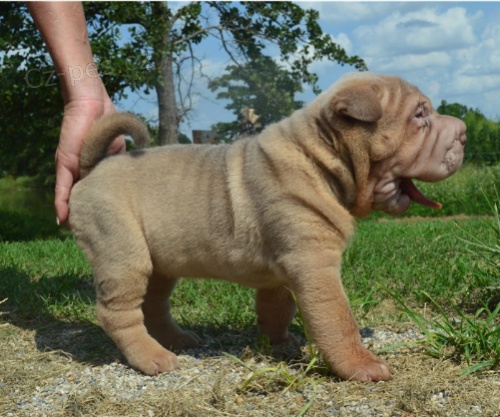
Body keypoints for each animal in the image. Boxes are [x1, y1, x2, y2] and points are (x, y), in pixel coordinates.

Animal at [69, 71, 464, 380]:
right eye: (419, 115)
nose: (462, 132)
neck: (319, 158)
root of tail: (93, 169)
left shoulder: (286, 271)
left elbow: (277, 308)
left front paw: (279, 342)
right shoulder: (315, 265)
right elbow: (338, 319)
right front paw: (360, 365)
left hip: (161, 262)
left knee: (153, 304)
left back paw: (176, 340)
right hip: (123, 254)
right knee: (118, 311)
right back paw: (152, 357)